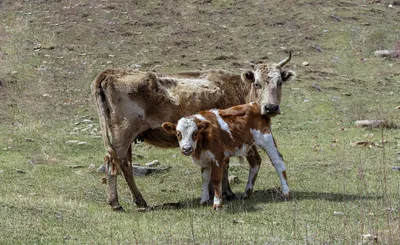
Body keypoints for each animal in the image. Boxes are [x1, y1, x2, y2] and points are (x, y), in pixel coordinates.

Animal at [161, 102, 290, 210]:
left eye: (195, 133)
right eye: (178, 134)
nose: (187, 148)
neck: (203, 139)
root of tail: (255, 105)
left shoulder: (217, 158)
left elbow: (215, 179)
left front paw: (217, 203)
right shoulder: (204, 159)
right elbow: (205, 179)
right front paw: (204, 200)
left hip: (266, 139)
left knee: (278, 162)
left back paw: (285, 193)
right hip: (249, 146)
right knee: (255, 163)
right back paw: (247, 193)